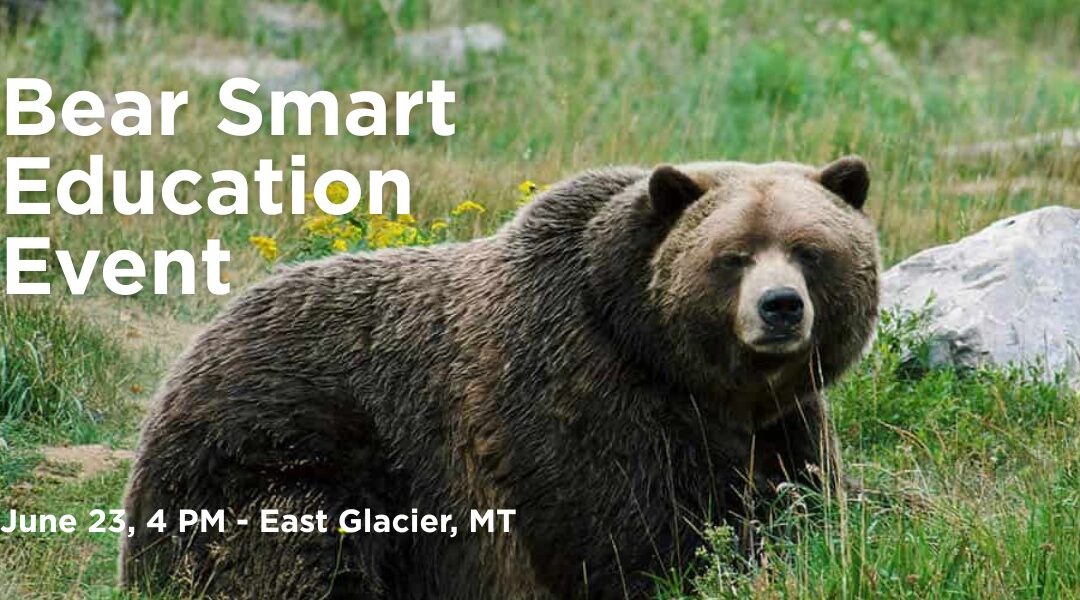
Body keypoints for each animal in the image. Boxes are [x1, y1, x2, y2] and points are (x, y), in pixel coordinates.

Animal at [120, 156, 879, 599]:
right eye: (734, 255)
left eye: (810, 249)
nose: (780, 307)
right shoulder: (578, 388)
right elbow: (626, 528)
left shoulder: (780, 422)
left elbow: (799, 504)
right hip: (277, 443)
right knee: (292, 545)